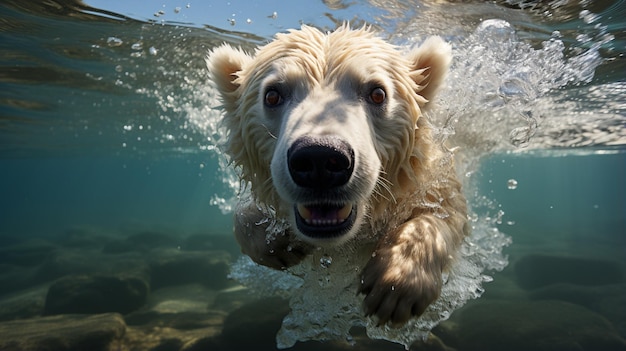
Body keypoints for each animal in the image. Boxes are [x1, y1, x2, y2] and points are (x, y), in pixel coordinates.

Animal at [207, 25, 466, 328]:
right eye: (272, 95)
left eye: (378, 93)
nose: (320, 159)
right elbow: (249, 217)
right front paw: (278, 243)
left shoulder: (431, 177)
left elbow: (446, 211)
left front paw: (397, 283)